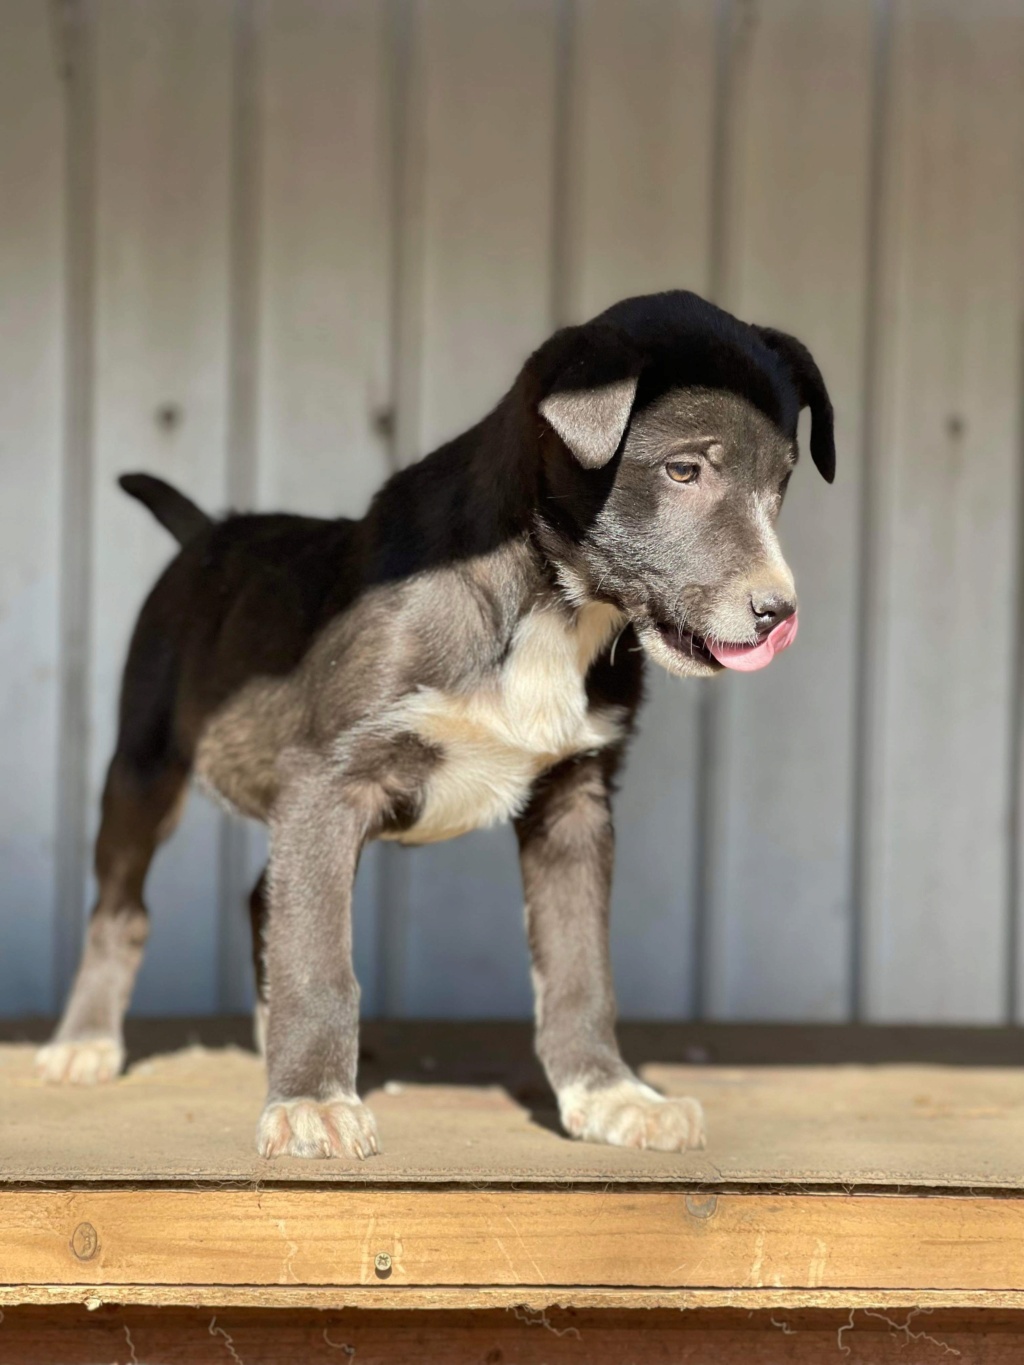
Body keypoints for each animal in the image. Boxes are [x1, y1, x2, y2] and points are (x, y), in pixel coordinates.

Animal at [42, 293, 841, 1157]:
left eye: (783, 480)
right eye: (684, 470)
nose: (778, 613)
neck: (548, 605)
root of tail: (206, 533)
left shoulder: (575, 798)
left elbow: (579, 967)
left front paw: (608, 1091)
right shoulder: (328, 776)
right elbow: (319, 959)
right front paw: (313, 1097)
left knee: (264, 895)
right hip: (146, 760)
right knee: (123, 905)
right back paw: (86, 1040)